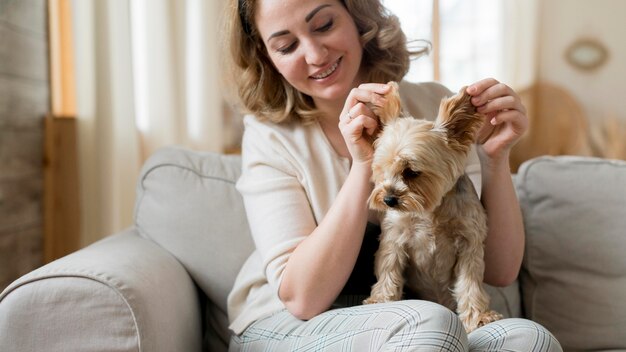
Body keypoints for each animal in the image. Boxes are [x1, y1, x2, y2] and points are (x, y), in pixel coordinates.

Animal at [364, 82, 500, 332]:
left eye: (411, 172)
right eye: (381, 169)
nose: (388, 199)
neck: (429, 208)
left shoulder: (469, 242)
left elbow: (470, 283)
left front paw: (478, 316)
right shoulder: (394, 238)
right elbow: (389, 267)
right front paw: (380, 299)